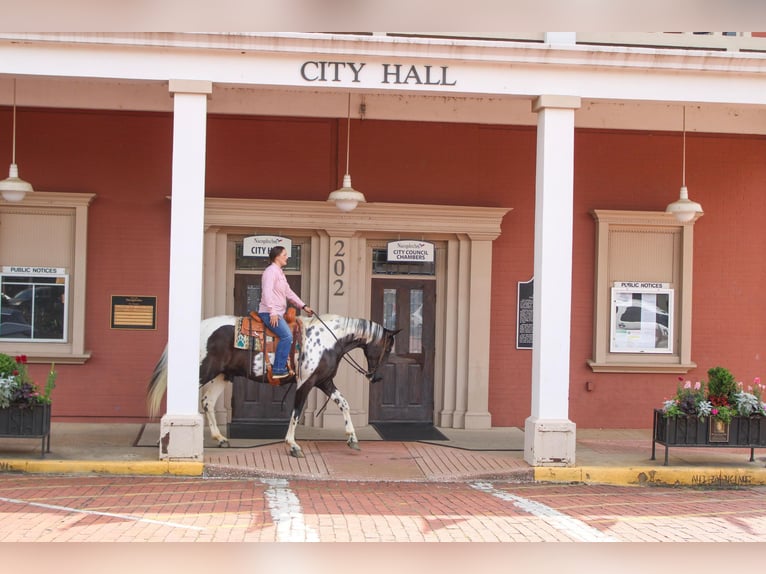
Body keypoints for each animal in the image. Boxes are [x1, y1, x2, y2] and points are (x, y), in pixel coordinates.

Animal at [146, 316, 402, 460]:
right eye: (387, 348)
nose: (377, 377)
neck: (328, 341)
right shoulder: (306, 383)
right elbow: (296, 412)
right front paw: (293, 445)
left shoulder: (324, 381)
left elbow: (344, 403)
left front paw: (352, 438)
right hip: (203, 372)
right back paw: (163, 438)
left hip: (222, 375)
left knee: (207, 402)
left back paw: (220, 438)